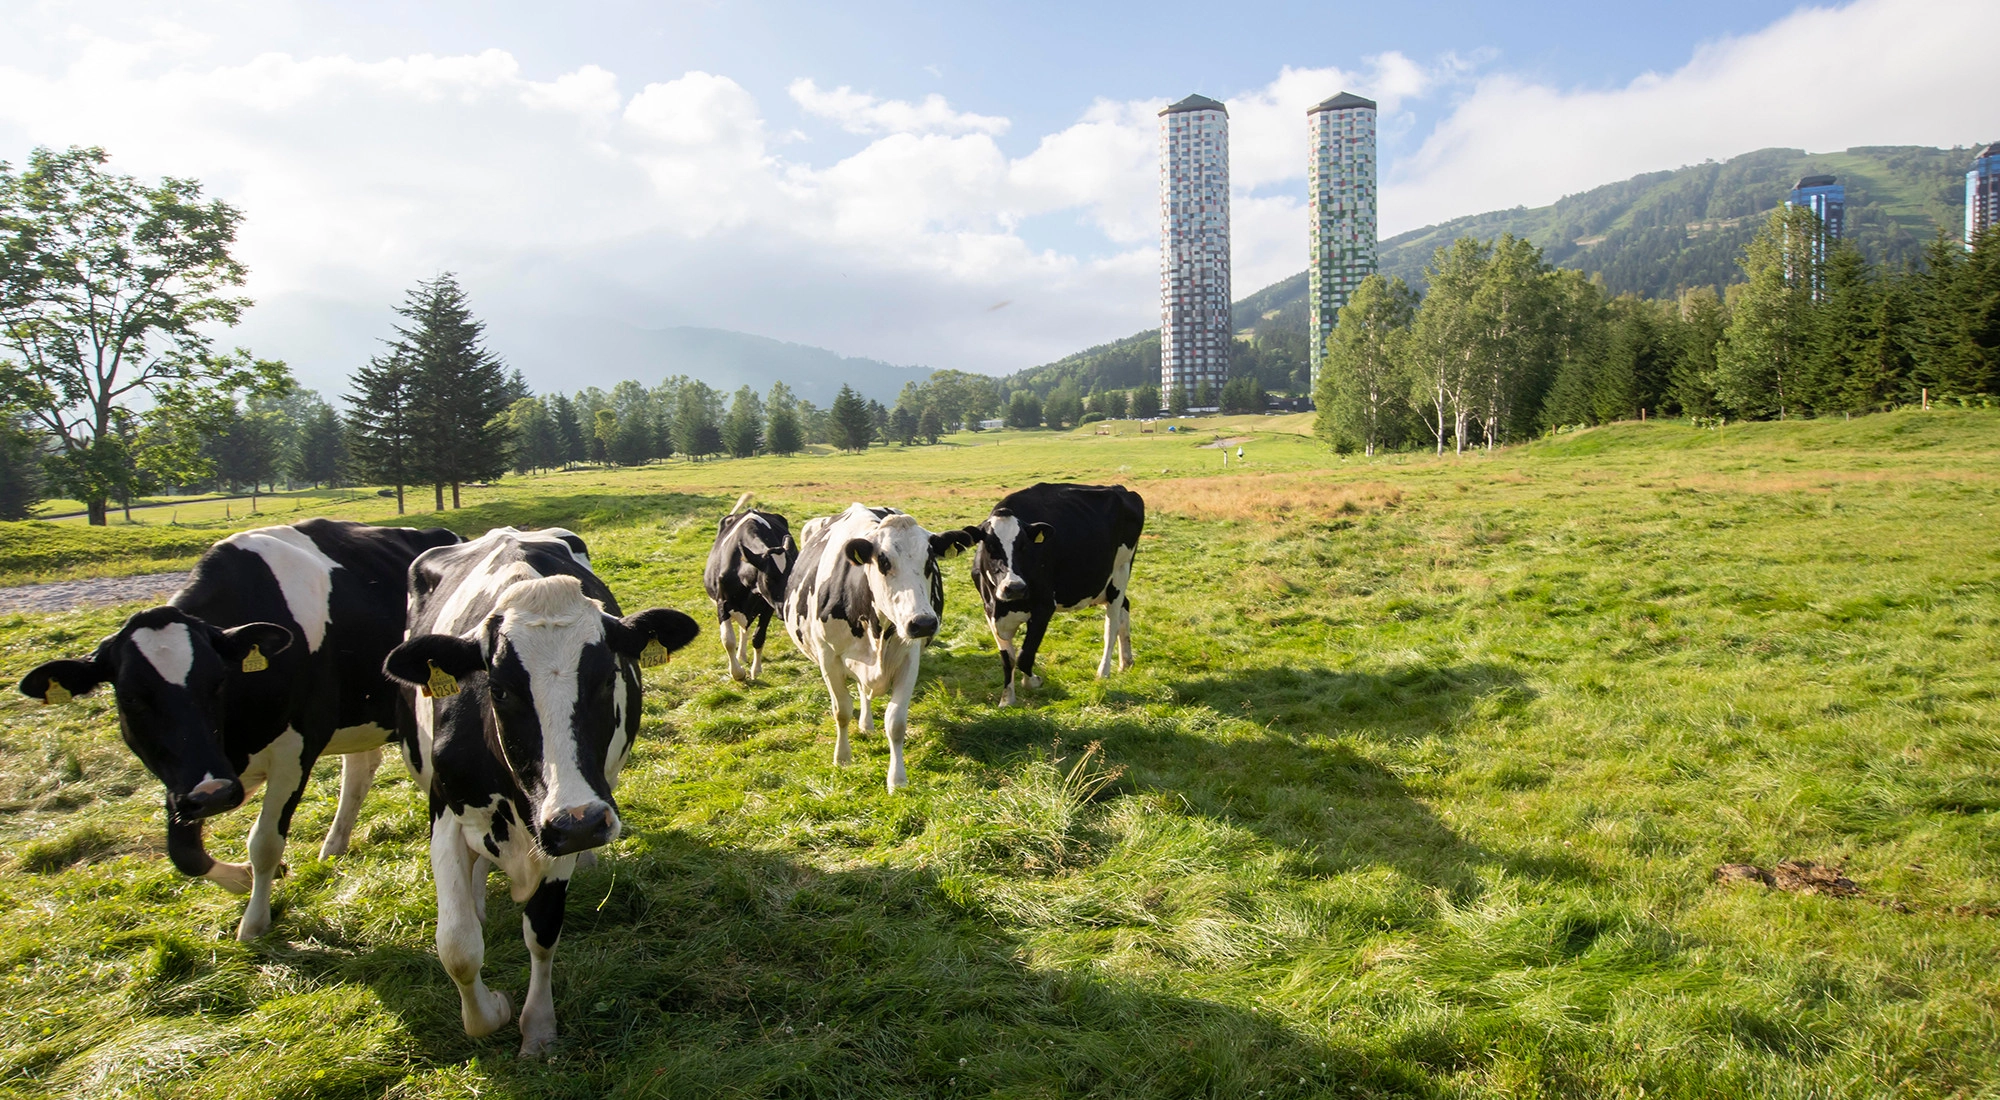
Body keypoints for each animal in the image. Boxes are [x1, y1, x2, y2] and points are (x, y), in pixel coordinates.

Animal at [15, 516, 460, 940]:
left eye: (218, 682)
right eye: (131, 698)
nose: (214, 795)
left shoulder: (294, 751)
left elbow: (264, 841)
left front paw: (255, 920)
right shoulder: (183, 776)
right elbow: (184, 852)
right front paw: (242, 878)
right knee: (360, 768)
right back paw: (333, 846)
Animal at [382, 528, 704, 1064]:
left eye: (607, 678)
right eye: (499, 689)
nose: (583, 825)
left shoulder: (559, 828)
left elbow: (543, 930)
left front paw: (537, 1027)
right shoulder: (448, 814)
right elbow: (458, 945)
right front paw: (491, 1009)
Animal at [704, 496, 796, 684]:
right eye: (768, 578)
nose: (787, 608)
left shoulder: (767, 607)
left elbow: (758, 637)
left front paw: (756, 670)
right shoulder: (722, 602)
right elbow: (728, 640)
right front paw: (737, 673)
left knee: (744, 628)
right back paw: (741, 656)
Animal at [780, 504, 976, 788]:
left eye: (930, 562)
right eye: (884, 562)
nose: (923, 623)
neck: (876, 629)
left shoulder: (909, 659)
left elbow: (895, 722)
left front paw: (897, 779)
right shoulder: (828, 658)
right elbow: (841, 711)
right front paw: (842, 757)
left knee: (865, 690)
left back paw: (867, 724)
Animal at [964, 484, 1144, 708]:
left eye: (1024, 546)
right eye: (990, 546)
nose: (1014, 587)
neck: (1004, 606)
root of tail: (1120, 488)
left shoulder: (1044, 606)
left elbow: (1024, 656)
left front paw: (1033, 681)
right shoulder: (989, 612)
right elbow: (1008, 659)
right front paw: (1007, 699)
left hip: (1121, 571)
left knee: (1111, 624)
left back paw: (1103, 672)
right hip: (1106, 584)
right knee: (1124, 608)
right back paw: (1126, 661)